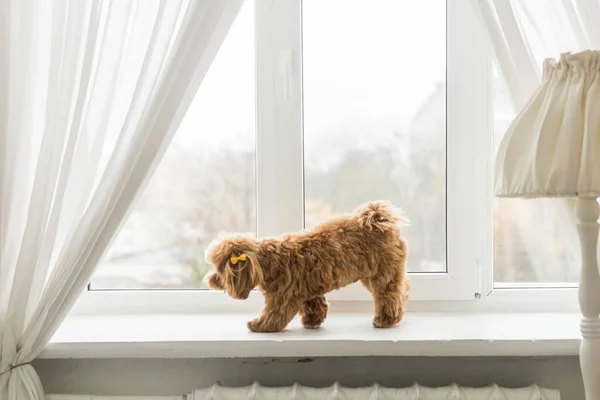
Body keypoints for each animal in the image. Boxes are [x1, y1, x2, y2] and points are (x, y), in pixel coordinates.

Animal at [205, 202, 408, 332]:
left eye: (219, 269)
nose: (211, 280)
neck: (267, 261)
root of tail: (379, 220)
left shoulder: (283, 296)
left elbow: (274, 314)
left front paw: (259, 325)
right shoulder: (306, 290)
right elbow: (315, 306)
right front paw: (312, 321)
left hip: (382, 275)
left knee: (388, 296)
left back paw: (385, 320)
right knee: (402, 288)